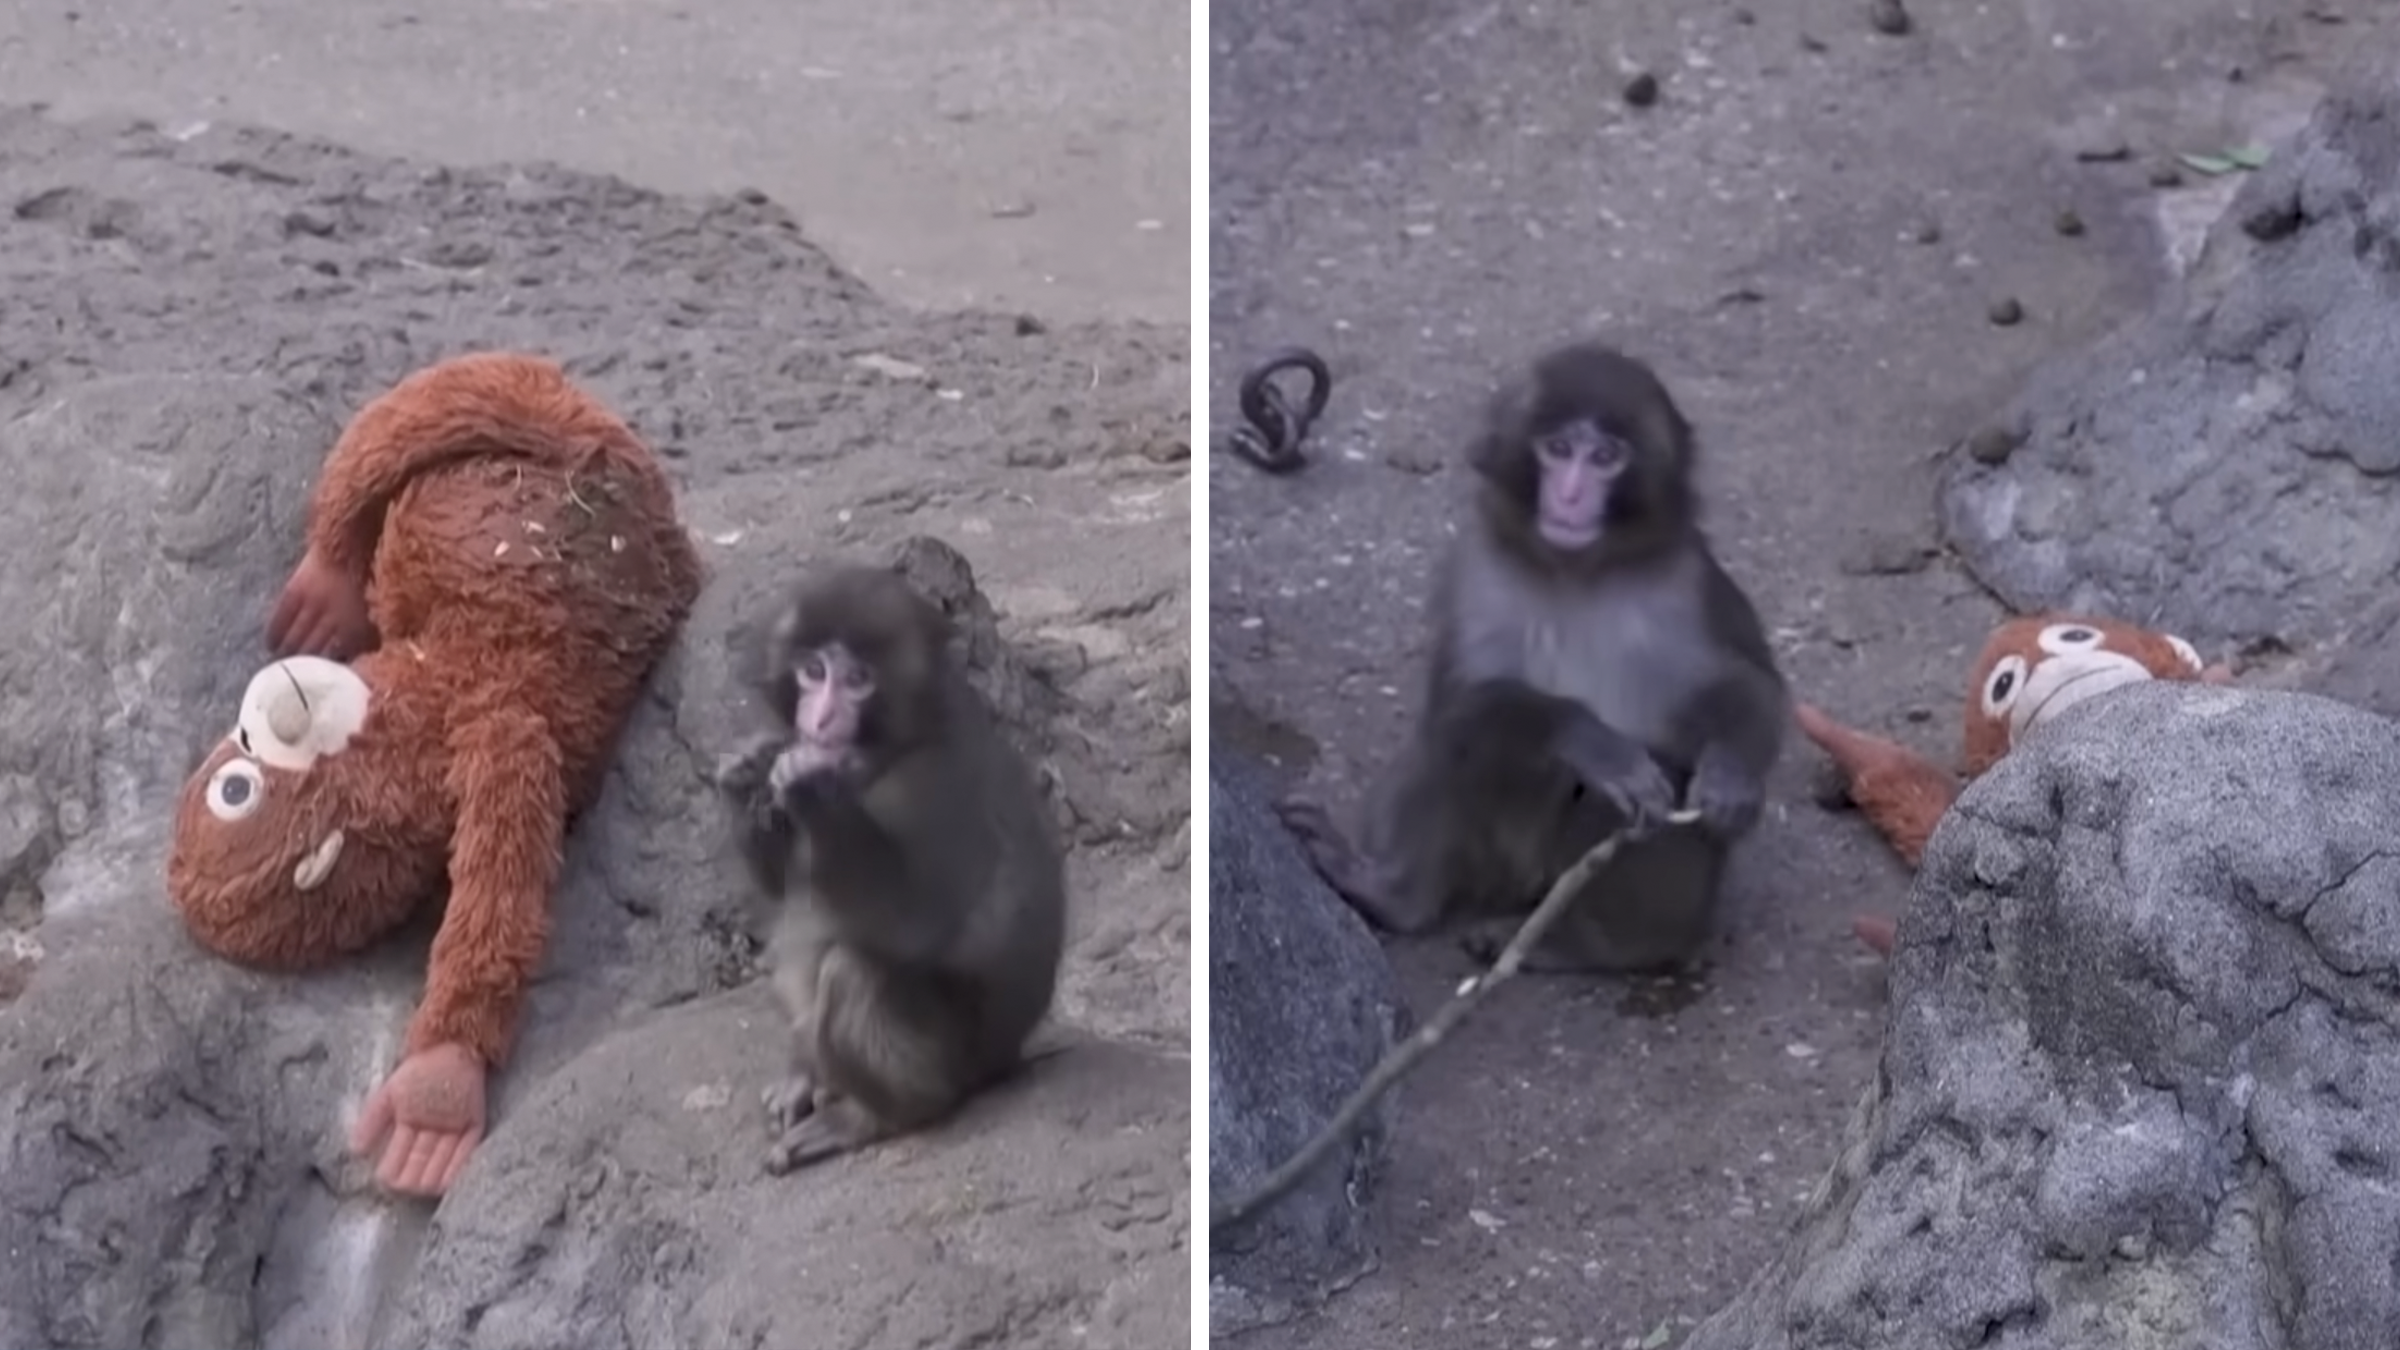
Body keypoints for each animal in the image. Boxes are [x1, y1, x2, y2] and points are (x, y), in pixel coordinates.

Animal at [714, 564, 1067, 1174]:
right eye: (813, 671)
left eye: (858, 680)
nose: (822, 718)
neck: (886, 750)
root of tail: (1005, 1060)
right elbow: (783, 887)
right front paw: (746, 773)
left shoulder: (935, 787)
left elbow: (914, 925)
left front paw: (811, 783)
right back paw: (808, 1075)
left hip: (951, 1066)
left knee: (852, 970)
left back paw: (872, 1117)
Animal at [1279, 340, 1790, 973]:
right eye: (1558, 449)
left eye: (1605, 457)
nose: (1569, 495)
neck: (1576, 573)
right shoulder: (1475, 571)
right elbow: (1457, 707)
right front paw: (1591, 740)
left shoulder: (1690, 584)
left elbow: (1749, 683)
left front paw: (1729, 773)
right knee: (1460, 745)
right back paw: (1395, 897)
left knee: (1641, 792)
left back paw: (1585, 945)